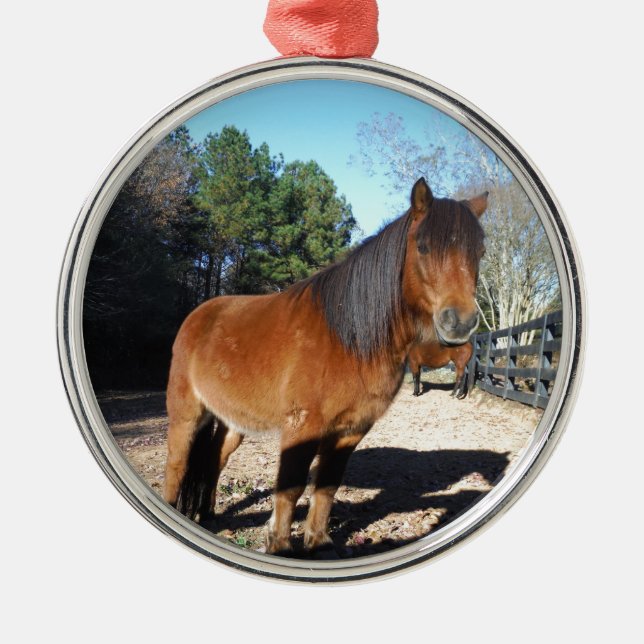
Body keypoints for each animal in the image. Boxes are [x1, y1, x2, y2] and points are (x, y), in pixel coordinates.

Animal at [164, 178, 487, 555]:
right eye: (422, 247)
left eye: (479, 252)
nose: (460, 322)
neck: (349, 338)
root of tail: (198, 316)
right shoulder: (302, 428)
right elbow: (289, 489)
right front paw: (280, 547)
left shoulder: (350, 430)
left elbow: (327, 486)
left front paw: (318, 544)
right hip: (187, 414)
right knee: (177, 465)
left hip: (233, 422)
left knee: (215, 461)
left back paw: (207, 516)